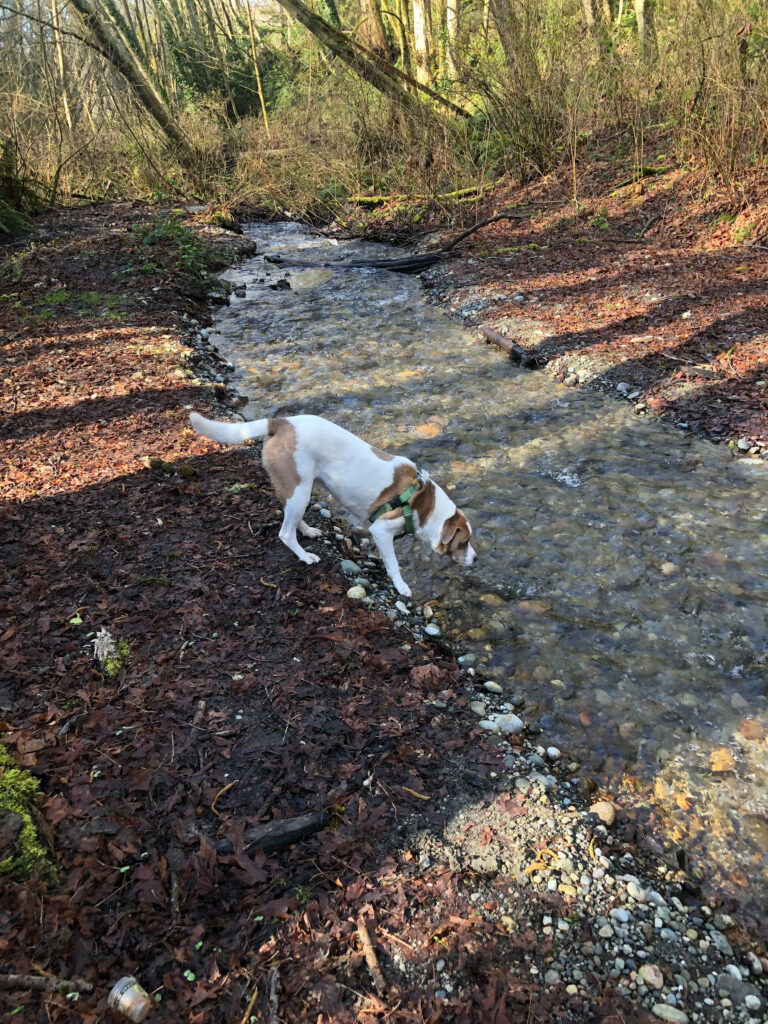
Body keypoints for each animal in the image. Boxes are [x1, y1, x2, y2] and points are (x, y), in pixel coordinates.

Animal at [190, 409, 479, 598]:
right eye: (463, 543)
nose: (476, 559)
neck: (424, 504)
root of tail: (282, 422)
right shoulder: (381, 531)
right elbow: (394, 564)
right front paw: (401, 586)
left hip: (299, 490)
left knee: (292, 518)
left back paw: (308, 530)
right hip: (299, 489)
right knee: (285, 532)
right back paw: (305, 555)